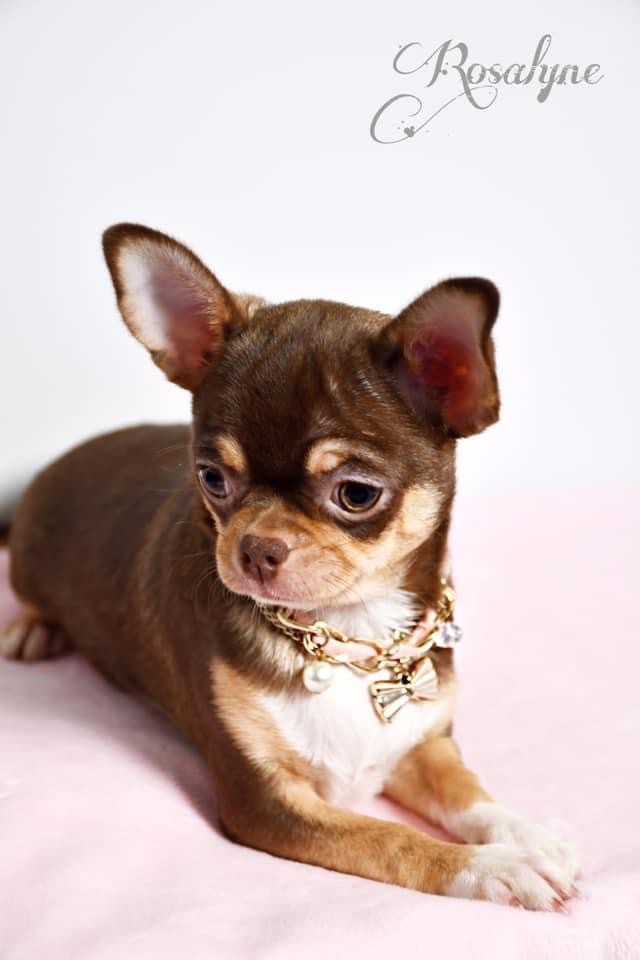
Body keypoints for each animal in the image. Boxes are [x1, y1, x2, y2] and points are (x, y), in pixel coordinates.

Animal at [1, 224, 579, 908]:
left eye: (355, 494)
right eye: (212, 479)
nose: (255, 546)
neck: (350, 634)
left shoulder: (423, 745)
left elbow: (471, 793)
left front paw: (527, 835)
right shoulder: (267, 802)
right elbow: (390, 839)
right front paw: (495, 867)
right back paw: (33, 629)